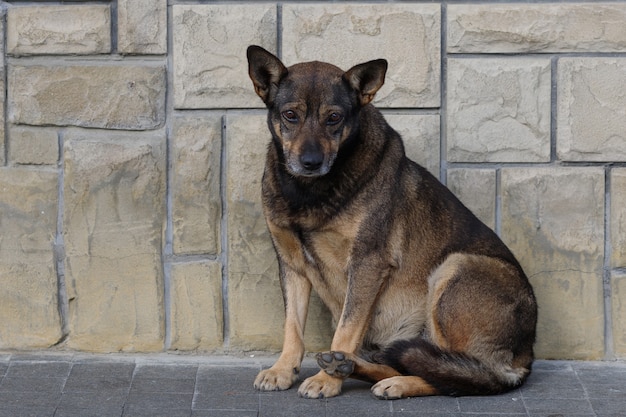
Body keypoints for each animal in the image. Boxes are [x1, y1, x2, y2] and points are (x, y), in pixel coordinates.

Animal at [246, 45, 532, 400]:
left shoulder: (367, 263)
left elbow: (346, 328)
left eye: (334, 117)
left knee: (461, 375)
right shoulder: (292, 264)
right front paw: (284, 370)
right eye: (290, 115)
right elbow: (292, 326)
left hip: (455, 268)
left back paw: (381, 377)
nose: (310, 162)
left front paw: (327, 380)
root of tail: (524, 359)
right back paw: (355, 367)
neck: (309, 192)